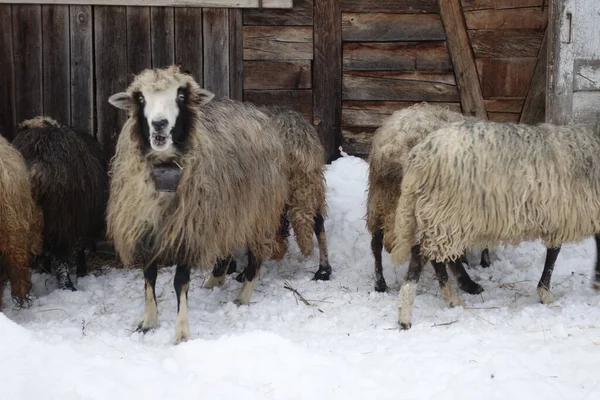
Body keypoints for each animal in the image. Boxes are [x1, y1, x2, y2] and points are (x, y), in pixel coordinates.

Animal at [11, 117, 108, 292]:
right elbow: (78, 247)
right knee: (61, 255)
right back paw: (68, 286)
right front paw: (81, 271)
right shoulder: (79, 219)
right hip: (62, 217)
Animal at [392, 118, 600, 328]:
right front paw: (546, 293)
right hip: (444, 211)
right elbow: (554, 254)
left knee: (435, 257)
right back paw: (406, 316)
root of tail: (420, 154)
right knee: (423, 256)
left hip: (440, 215)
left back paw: (451, 298)